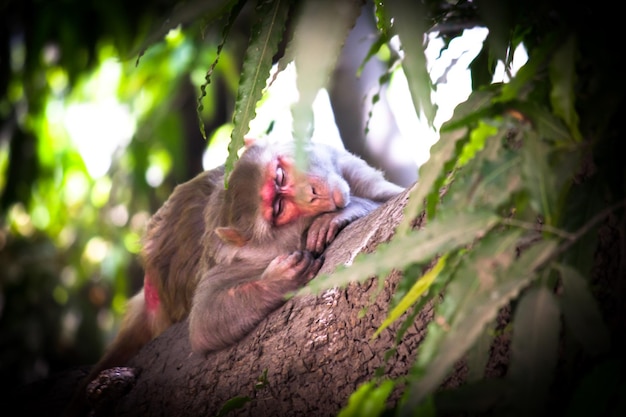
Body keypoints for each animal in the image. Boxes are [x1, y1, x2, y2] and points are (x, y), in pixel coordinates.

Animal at [66, 138, 402, 414]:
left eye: (280, 175)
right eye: (278, 207)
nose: (314, 193)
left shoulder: (344, 165)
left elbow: (395, 195)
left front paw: (343, 213)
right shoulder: (248, 260)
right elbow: (203, 322)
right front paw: (277, 282)